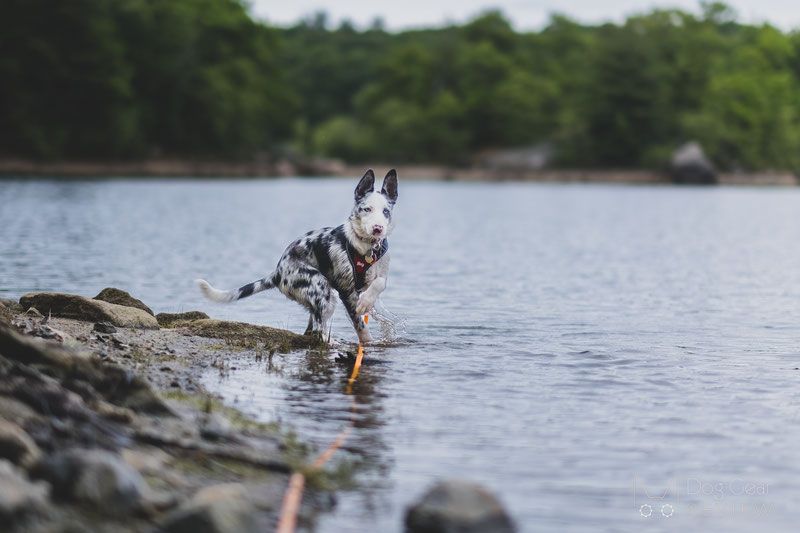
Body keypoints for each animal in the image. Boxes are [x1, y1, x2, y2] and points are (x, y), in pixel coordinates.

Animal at [197, 169, 396, 344]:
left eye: (386, 211)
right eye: (367, 209)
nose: (378, 228)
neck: (366, 247)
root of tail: (278, 271)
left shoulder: (378, 276)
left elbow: (379, 284)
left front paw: (369, 303)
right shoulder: (346, 291)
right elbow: (361, 326)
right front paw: (367, 337)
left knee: (311, 330)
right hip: (322, 291)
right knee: (319, 331)